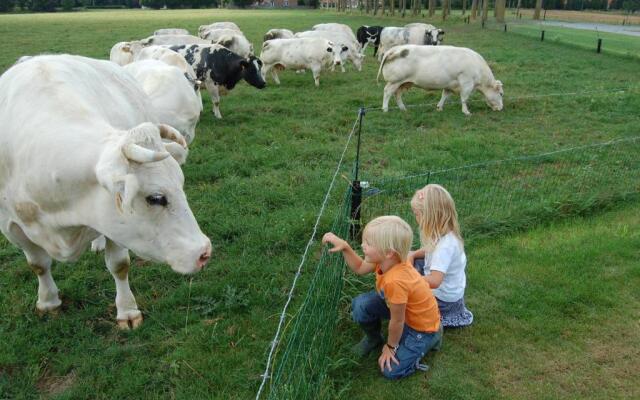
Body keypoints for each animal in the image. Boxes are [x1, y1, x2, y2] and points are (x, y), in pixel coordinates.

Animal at [0, 54, 214, 330]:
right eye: (156, 198)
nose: (204, 252)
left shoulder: (116, 225)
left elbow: (119, 266)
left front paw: (127, 311)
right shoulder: (12, 227)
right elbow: (38, 265)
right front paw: (48, 302)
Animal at [376, 45, 504, 114]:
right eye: (501, 94)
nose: (501, 108)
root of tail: (394, 49)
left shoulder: (450, 84)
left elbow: (445, 95)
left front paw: (439, 107)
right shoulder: (467, 83)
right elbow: (464, 98)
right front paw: (466, 112)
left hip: (405, 83)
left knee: (397, 94)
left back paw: (403, 109)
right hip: (394, 81)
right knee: (387, 92)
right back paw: (385, 109)